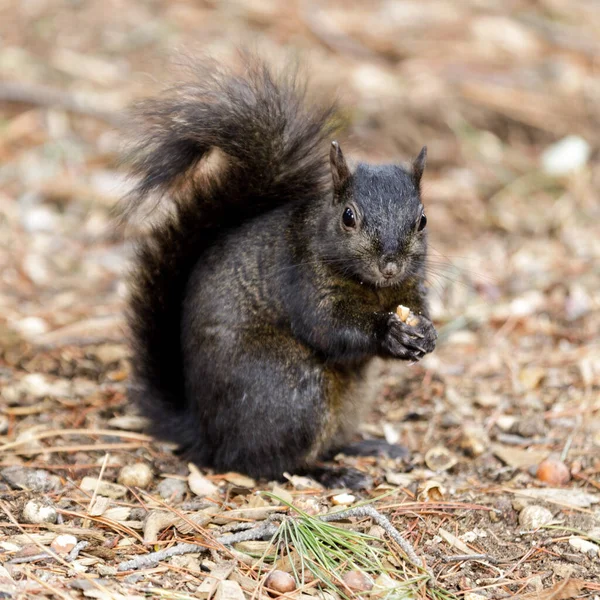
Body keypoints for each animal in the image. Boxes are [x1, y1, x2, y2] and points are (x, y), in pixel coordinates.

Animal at [122, 56, 436, 488]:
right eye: (348, 217)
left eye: (422, 220)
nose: (389, 266)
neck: (374, 290)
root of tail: (205, 433)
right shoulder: (304, 282)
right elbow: (329, 328)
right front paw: (388, 333)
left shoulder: (410, 287)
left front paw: (427, 333)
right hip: (291, 392)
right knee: (266, 463)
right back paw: (331, 473)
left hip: (348, 402)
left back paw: (367, 447)